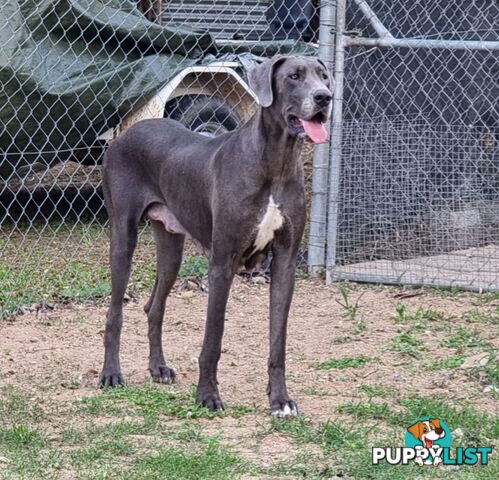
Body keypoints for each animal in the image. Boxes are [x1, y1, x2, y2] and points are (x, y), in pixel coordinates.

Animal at [98, 55, 332, 416]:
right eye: (294, 76)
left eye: (324, 76)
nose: (324, 98)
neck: (274, 163)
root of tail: (126, 133)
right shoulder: (223, 261)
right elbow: (213, 336)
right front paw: (207, 395)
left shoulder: (286, 262)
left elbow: (278, 339)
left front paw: (280, 399)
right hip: (123, 236)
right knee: (114, 313)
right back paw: (111, 374)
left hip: (171, 247)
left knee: (154, 307)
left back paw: (158, 368)